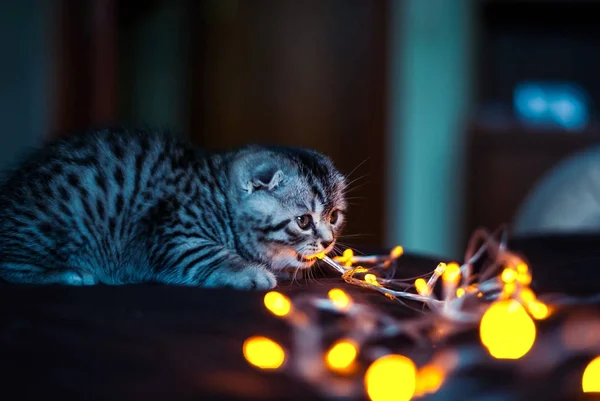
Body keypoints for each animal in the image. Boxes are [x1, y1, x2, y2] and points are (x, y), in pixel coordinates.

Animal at [0, 127, 346, 288]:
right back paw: (69, 273)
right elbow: (208, 254)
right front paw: (251, 272)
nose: (328, 242)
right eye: (303, 220)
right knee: (11, 266)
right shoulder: (170, 234)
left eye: (334, 216)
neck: (218, 196)